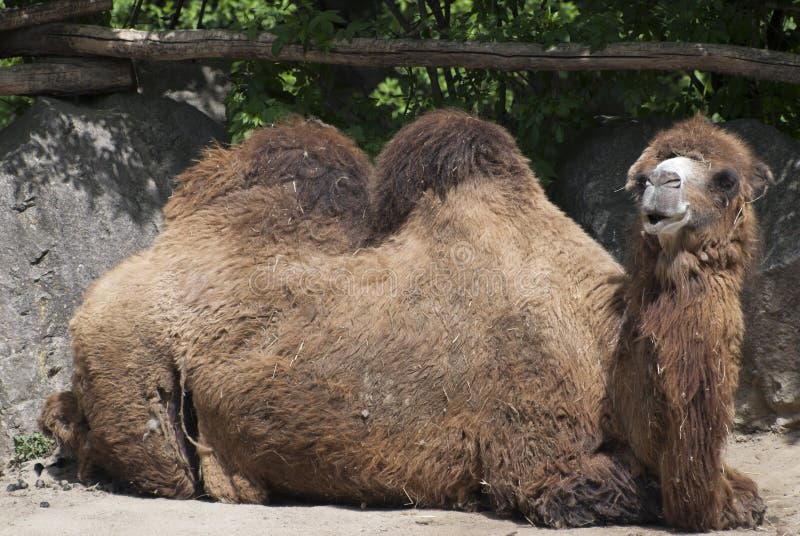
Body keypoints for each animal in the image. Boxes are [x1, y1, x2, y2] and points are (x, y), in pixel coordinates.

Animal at [39, 111, 768, 528]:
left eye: (727, 177)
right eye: (644, 173)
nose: (662, 189)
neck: (603, 347)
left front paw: (738, 498)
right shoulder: (539, 463)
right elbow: (618, 487)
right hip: (127, 357)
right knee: (149, 459)